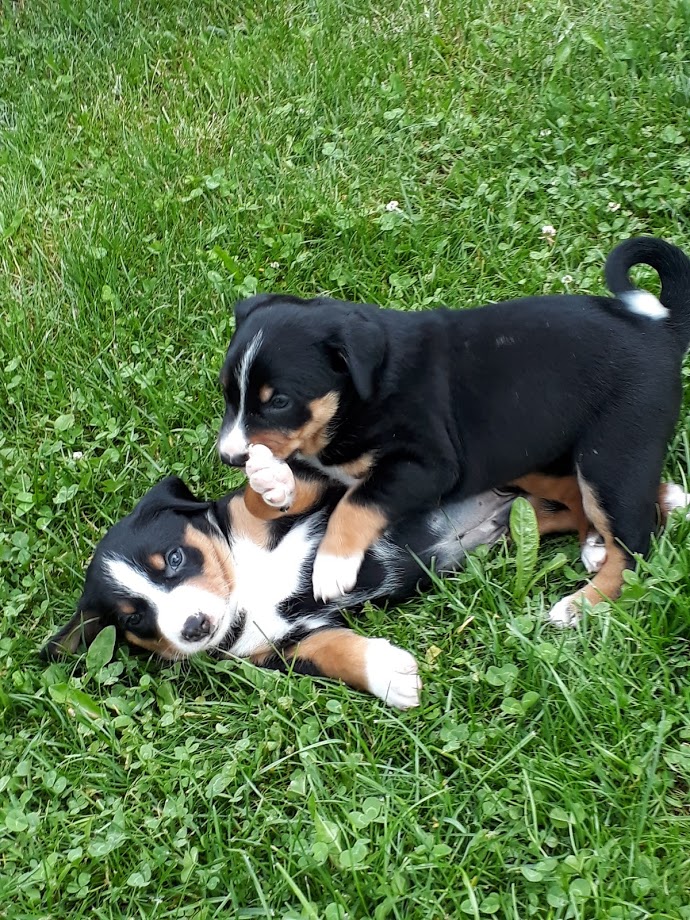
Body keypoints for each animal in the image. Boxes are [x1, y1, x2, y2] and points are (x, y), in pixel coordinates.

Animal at [41, 447, 516, 708]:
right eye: (134, 618)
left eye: (174, 558)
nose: (195, 627)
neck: (245, 594)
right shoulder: (283, 650)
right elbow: (331, 652)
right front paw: (385, 674)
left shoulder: (319, 492)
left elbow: (261, 501)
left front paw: (269, 481)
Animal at [217, 237, 690, 625]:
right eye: (226, 392)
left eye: (279, 401)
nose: (230, 456)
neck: (361, 396)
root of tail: (660, 330)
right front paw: (271, 482)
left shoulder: (428, 465)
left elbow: (356, 502)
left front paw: (332, 565)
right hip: (530, 456)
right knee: (578, 501)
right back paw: (598, 540)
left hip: (611, 453)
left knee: (633, 543)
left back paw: (580, 605)